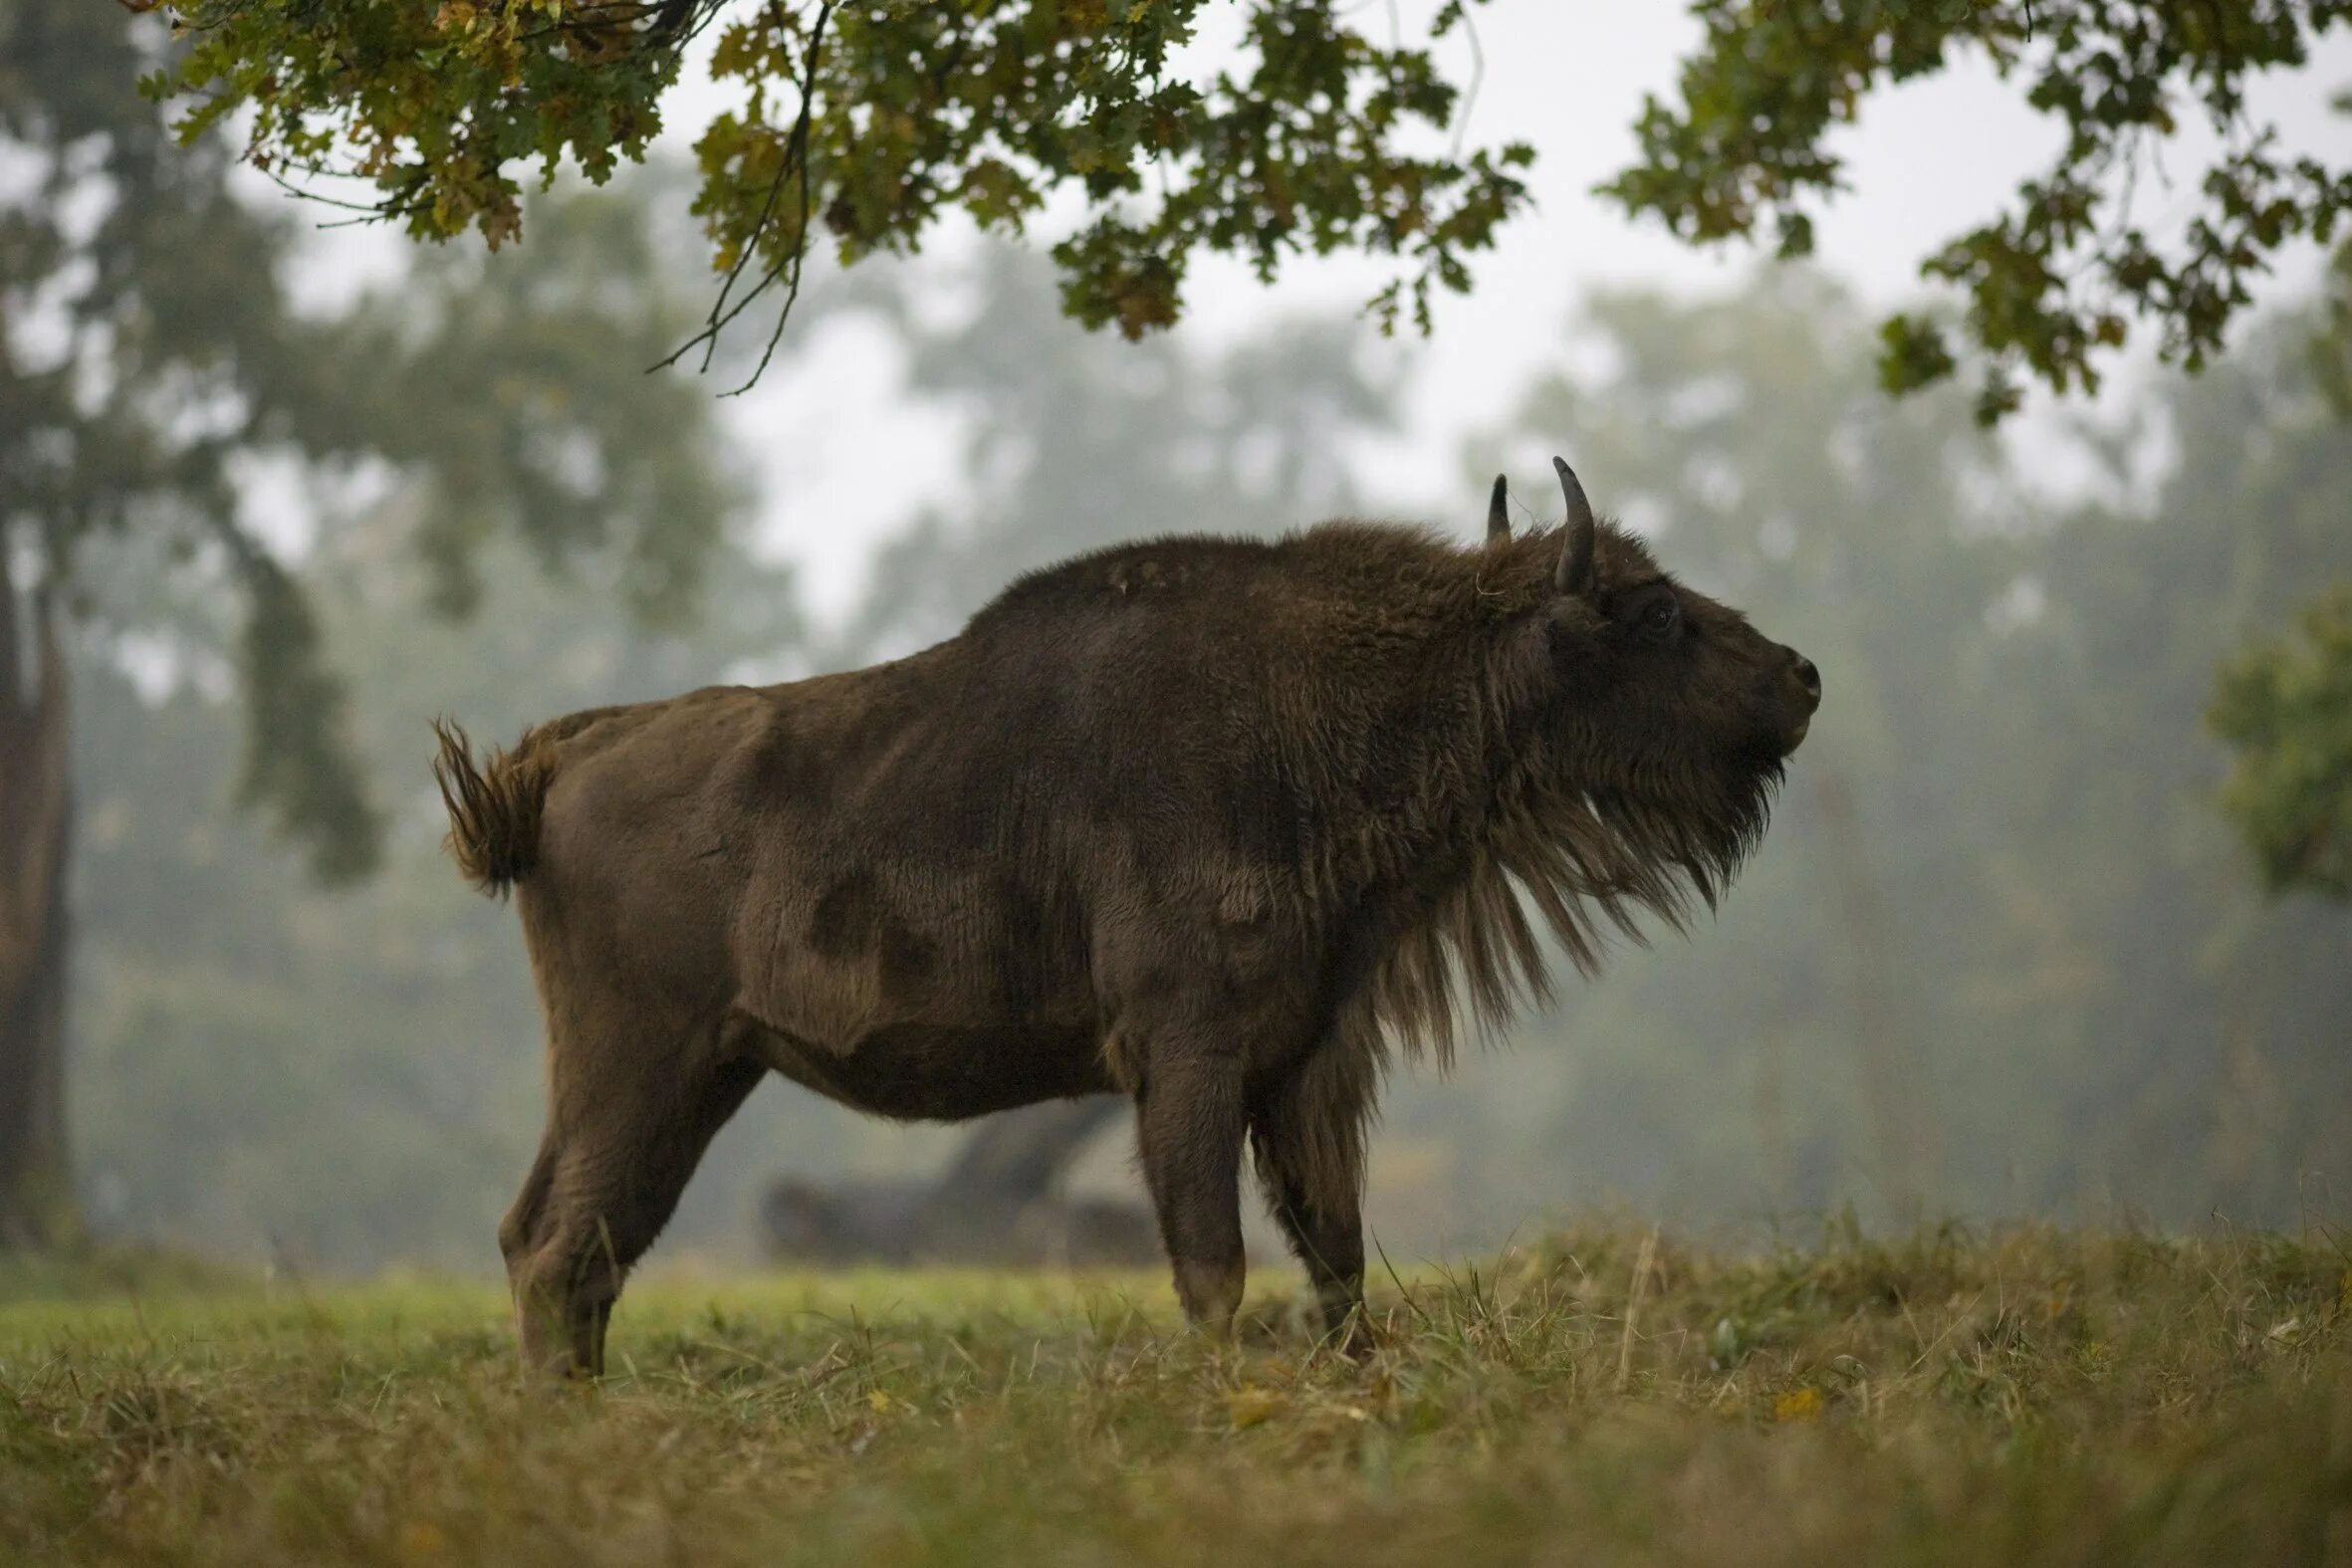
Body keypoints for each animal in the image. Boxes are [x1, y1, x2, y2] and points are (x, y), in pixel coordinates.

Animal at [427, 456, 1815, 1373]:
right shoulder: (1187, 1060)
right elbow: (1214, 1263)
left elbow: (1337, 1259)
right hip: (638, 1062)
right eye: (1655, 613)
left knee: (572, 1246)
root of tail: (575, 748)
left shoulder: (1305, 1063)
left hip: (699, 1073)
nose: (1800, 677)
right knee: (557, 1248)